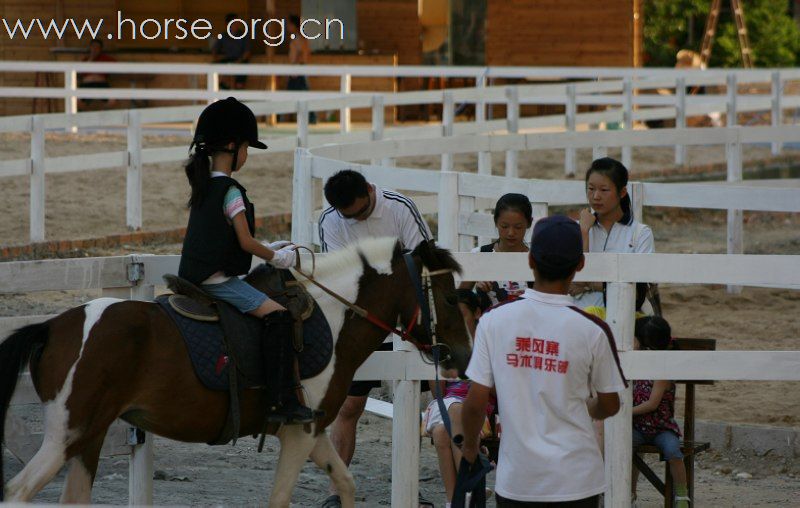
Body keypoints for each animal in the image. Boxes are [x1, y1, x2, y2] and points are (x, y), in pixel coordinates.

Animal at [0, 239, 472, 508]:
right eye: (450, 298)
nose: (463, 356)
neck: (333, 316)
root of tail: (52, 325)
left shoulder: (314, 431)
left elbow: (347, 482)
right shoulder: (298, 433)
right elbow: (279, 499)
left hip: (90, 436)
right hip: (67, 435)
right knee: (18, 493)